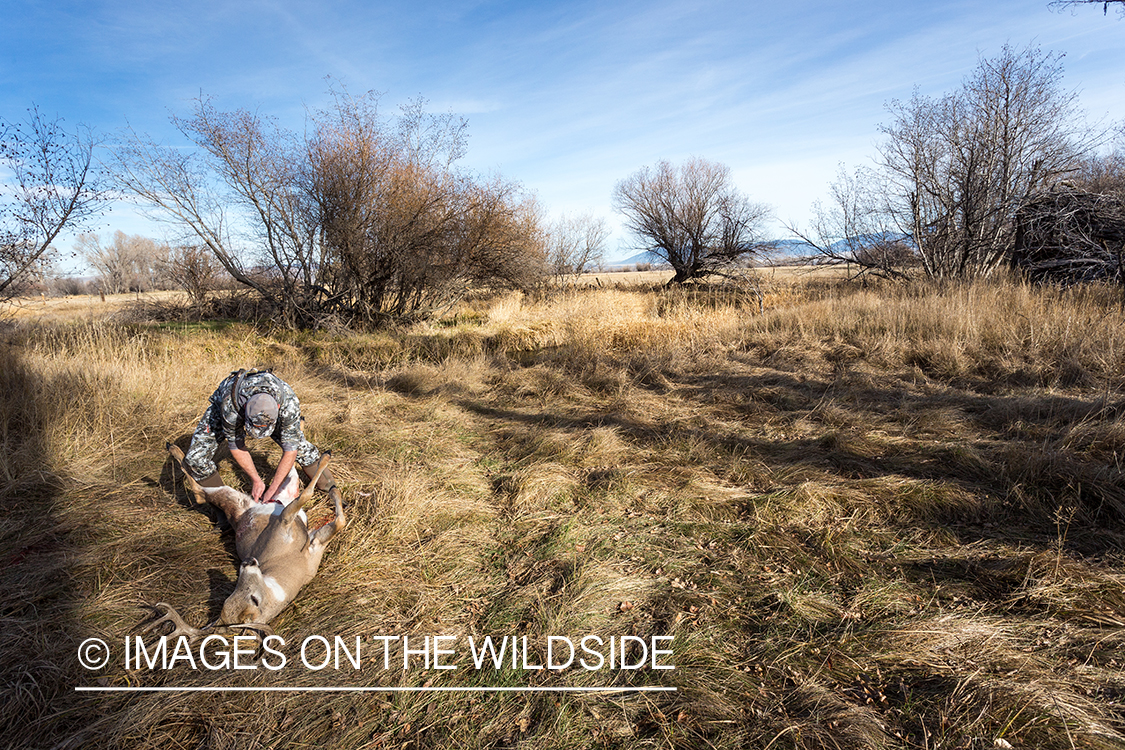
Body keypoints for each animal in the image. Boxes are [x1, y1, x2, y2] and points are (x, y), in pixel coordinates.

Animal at [146, 443, 346, 643]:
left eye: (253, 599)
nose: (248, 561)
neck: (291, 564)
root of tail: (238, 517)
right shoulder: (283, 523)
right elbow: (309, 498)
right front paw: (332, 482)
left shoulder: (313, 545)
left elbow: (339, 521)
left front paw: (334, 488)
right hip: (235, 497)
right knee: (200, 492)